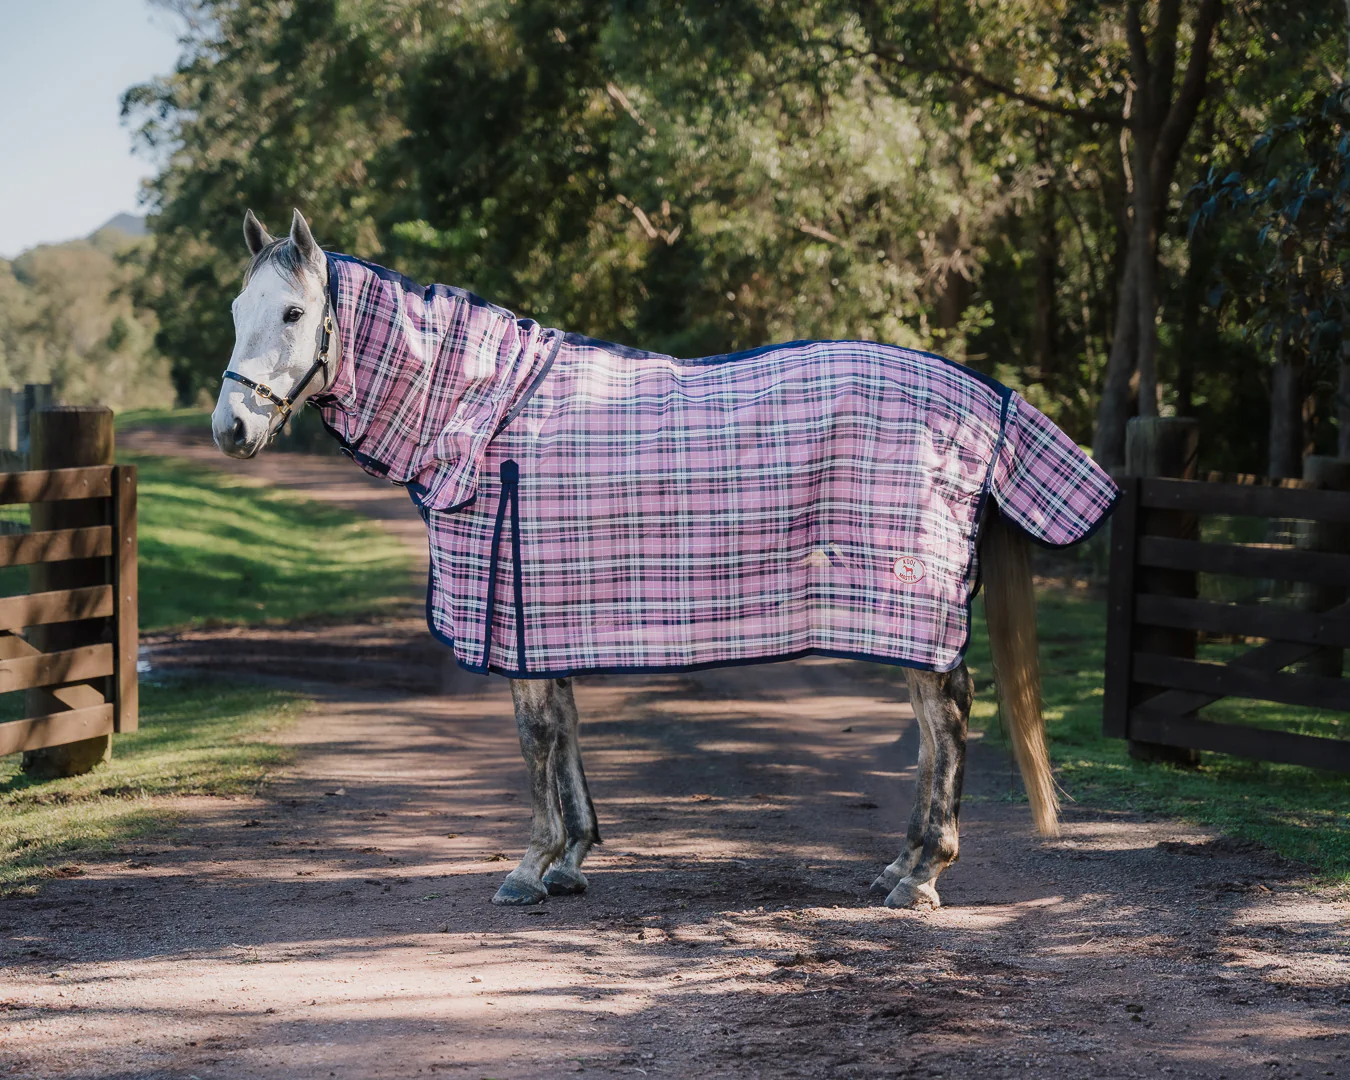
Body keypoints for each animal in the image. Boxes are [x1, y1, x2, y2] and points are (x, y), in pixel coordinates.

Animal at [212, 208, 1117, 909]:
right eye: (236, 308)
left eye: (291, 313)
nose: (230, 428)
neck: (485, 411)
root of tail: (983, 396)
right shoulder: (548, 613)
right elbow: (566, 729)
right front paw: (572, 858)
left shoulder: (518, 612)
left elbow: (536, 738)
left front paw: (530, 867)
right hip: (896, 606)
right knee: (932, 723)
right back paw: (899, 865)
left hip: (913, 596)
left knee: (948, 716)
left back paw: (924, 874)